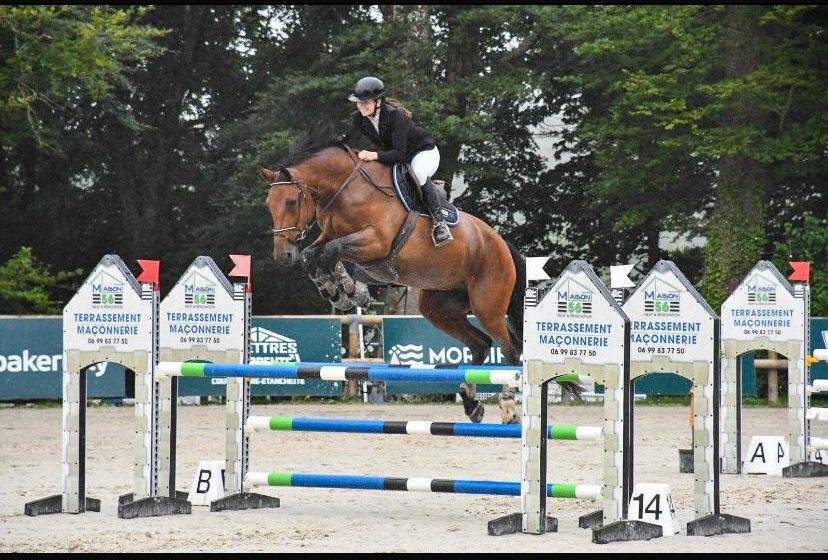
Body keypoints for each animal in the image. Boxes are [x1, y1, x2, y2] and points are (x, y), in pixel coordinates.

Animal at [260, 141, 536, 424]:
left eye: (291, 202)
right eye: (269, 204)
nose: (283, 255)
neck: (344, 190)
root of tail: (501, 243)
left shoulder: (375, 242)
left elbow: (331, 251)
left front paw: (350, 291)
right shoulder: (331, 236)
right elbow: (312, 254)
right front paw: (337, 291)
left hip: (487, 306)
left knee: (511, 350)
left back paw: (509, 408)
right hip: (439, 308)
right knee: (480, 344)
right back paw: (472, 405)